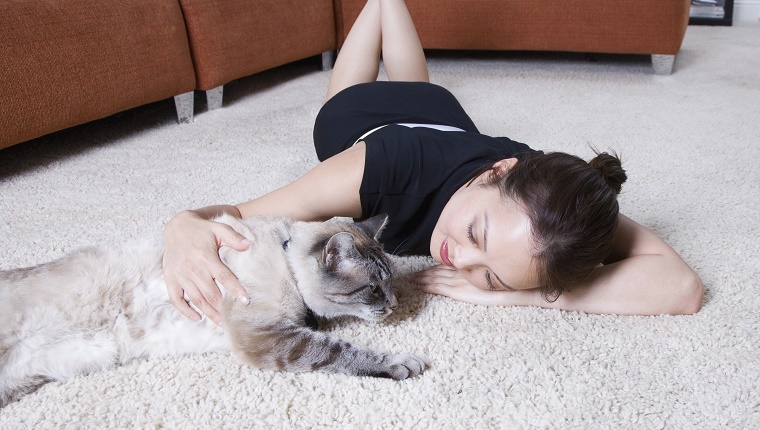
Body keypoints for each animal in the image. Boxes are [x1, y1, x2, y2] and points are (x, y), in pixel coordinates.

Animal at [0, 215, 424, 406]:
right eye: (373, 289)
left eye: (390, 284)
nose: (393, 305)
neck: (284, 255)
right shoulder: (267, 337)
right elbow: (341, 352)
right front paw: (403, 364)